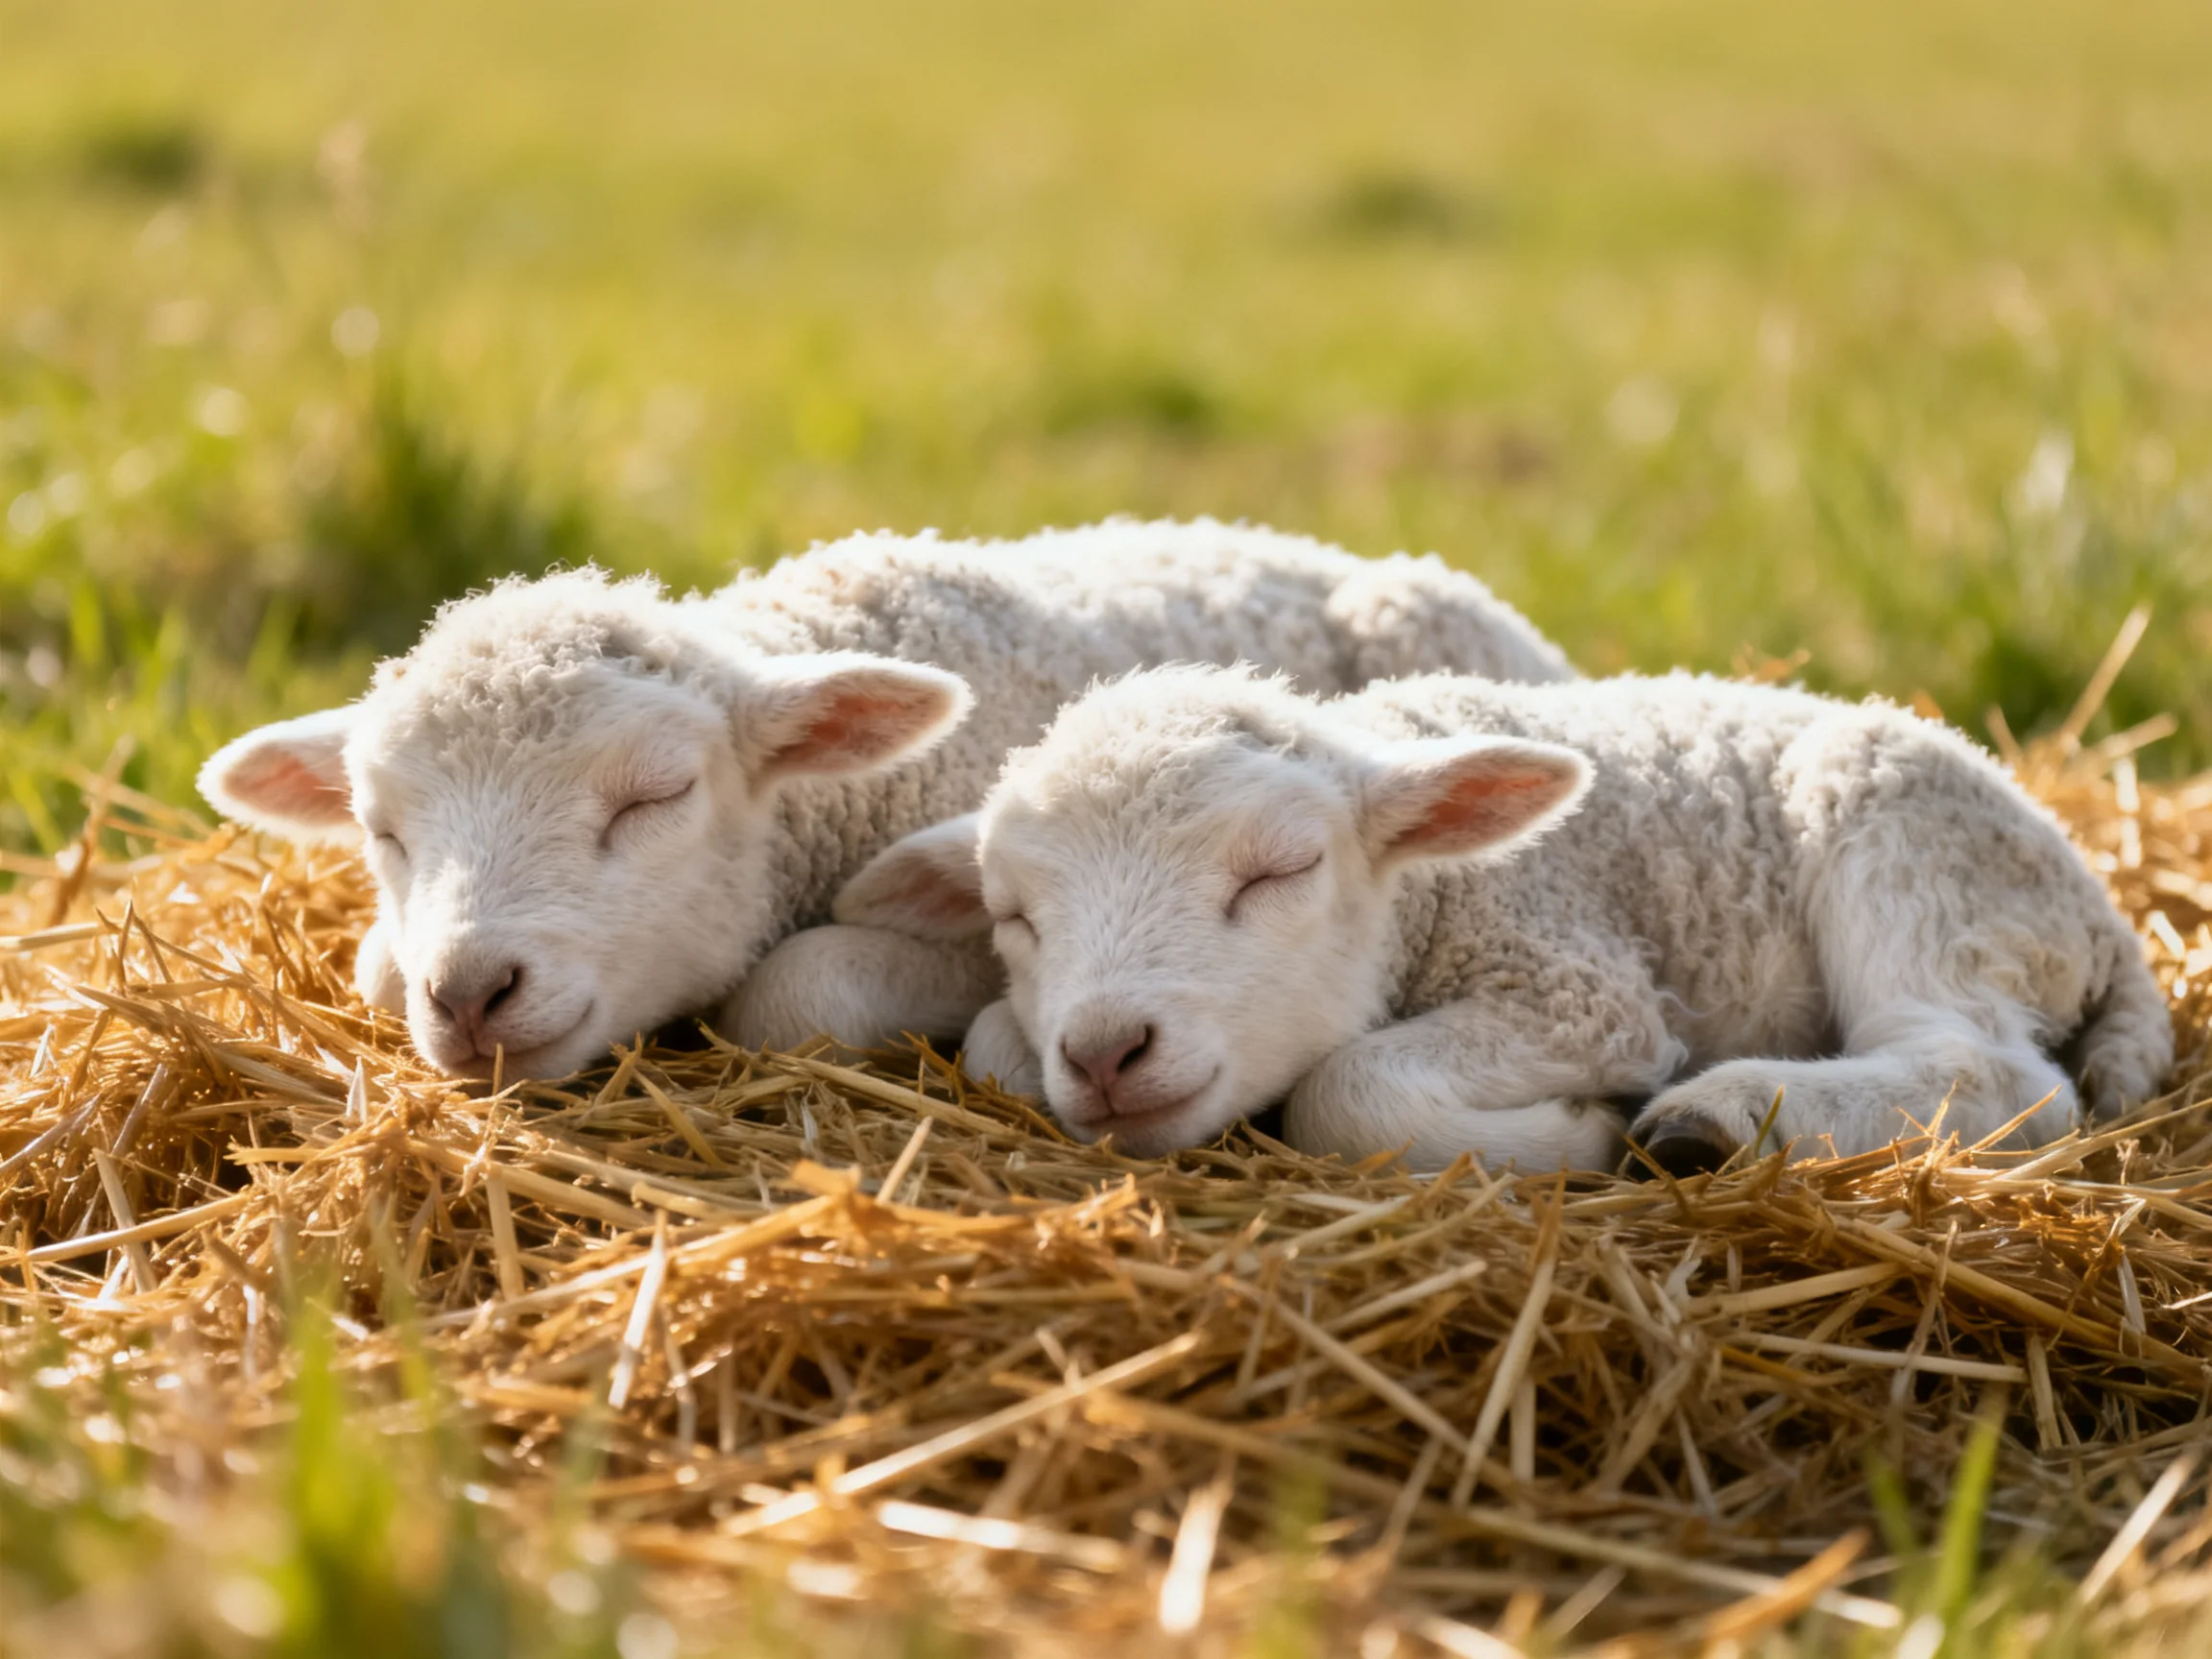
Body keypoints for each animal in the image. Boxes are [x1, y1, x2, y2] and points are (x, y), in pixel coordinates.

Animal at [835, 664, 2172, 1171]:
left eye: (1278, 872)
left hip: (1911, 852)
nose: (1108, 1052)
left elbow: (1348, 1089)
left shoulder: (1577, 982)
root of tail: (2100, 904)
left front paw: (1576, 1133)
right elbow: (993, 1044)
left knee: (1993, 1073)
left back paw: (1712, 1121)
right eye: (1012, 917)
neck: (1437, 888)